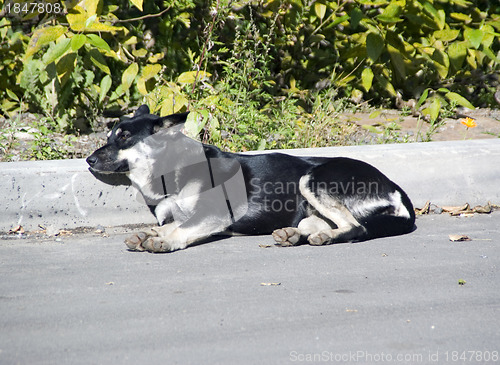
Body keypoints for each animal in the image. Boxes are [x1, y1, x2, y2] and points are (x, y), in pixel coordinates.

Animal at [87, 104, 414, 252]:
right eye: (109, 136)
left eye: (124, 137)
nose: (88, 161)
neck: (172, 167)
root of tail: (395, 188)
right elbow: (174, 224)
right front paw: (150, 234)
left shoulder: (214, 214)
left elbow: (181, 229)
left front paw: (163, 241)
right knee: (323, 223)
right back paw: (294, 235)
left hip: (312, 179)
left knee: (357, 228)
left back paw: (322, 238)